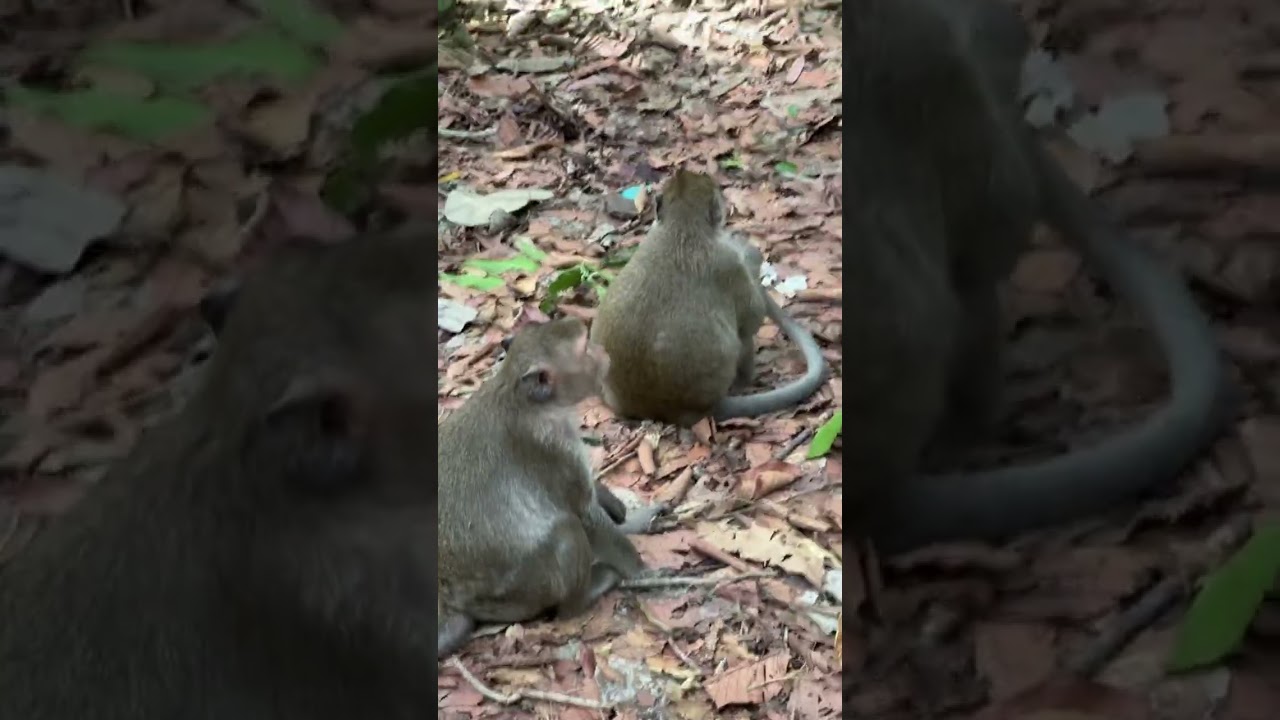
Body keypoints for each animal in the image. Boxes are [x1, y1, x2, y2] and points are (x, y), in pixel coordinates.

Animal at [437, 317, 661, 657]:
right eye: (585, 346)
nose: (602, 350)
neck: (526, 401)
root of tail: (454, 602)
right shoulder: (550, 446)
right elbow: (584, 513)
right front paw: (641, 568)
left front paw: (615, 504)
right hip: (523, 590)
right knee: (566, 532)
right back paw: (588, 592)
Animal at [589, 169, 828, 427]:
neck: (681, 227)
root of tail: (667, 409)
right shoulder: (728, 264)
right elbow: (752, 317)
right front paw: (750, 255)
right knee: (743, 337)